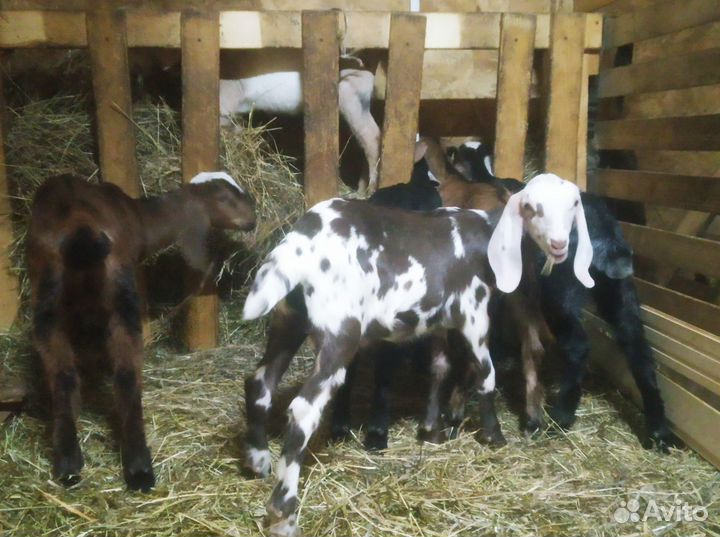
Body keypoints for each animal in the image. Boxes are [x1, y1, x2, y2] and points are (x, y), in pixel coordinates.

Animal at [27, 172, 255, 490]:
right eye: (224, 198)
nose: (252, 219)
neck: (139, 216)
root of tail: (79, 231)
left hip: (46, 298)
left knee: (61, 377)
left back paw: (68, 463)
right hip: (120, 290)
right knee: (126, 375)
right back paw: (139, 468)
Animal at [241, 174, 593, 537]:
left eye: (573, 205)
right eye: (531, 207)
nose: (559, 245)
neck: (485, 233)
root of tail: (297, 245)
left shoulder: (440, 320)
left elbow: (442, 367)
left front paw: (433, 428)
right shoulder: (473, 312)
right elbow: (486, 375)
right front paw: (494, 434)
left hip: (288, 317)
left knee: (260, 382)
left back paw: (258, 460)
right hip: (340, 330)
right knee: (303, 409)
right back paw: (284, 513)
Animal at [448, 141, 672, 449]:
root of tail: (605, 236)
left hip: (558, 291)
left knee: (577, 345)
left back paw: (561, 415)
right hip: (619, 291)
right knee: (637, 347)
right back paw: (658, 430)